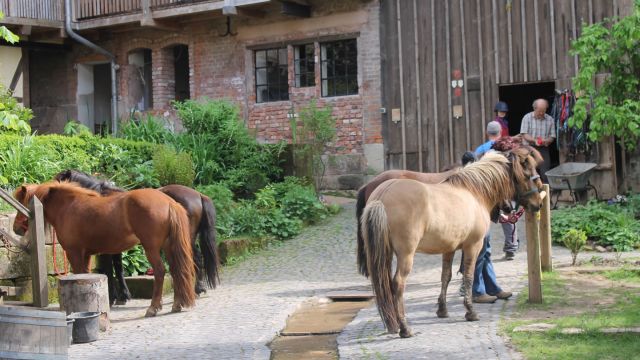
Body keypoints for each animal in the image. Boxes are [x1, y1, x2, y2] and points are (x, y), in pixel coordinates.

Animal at [13, 183, 198, 318]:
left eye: (20, 204)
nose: (16, 228)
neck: (68, 207)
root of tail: (169, 202)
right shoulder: (86, 254)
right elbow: (86, 275)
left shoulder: (75, 253)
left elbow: (80, 273)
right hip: (168, 247)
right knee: (176, 271)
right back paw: (177, 305)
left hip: (151, 248)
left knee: (160, 272)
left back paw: (153, 308)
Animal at [53, 169, 221, 304]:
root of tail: (198, 195)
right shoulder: (115, 247)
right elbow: (119, 268)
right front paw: (124, 296)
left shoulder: (106, 249)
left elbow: (109, 270)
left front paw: (113, 297)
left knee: (195, 258)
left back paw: (197, 289)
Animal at [362, 147, 544, 338]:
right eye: (527, 174)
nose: (538, 203)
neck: (474, 192)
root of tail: (382, 194)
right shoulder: (473, 246)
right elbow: (469, 277)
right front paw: (470, 312)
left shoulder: (448, 248)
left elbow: (446, 277)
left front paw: (442, 310)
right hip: (406, 255)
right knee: (398, 283)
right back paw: (404, 328)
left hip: (385, 253)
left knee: (384, 283)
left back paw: (394, 324)